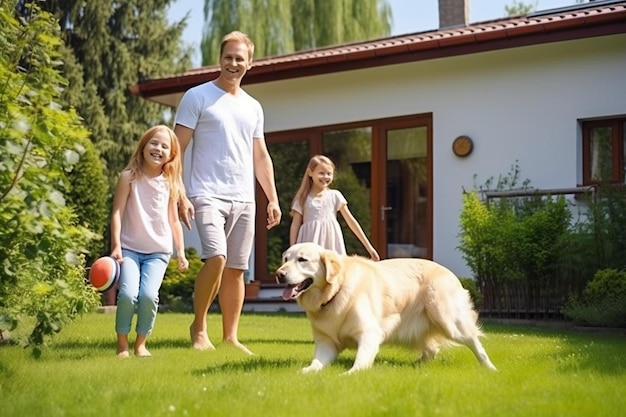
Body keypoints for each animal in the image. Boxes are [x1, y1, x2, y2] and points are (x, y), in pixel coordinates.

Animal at [276, 240, 494, 374]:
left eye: (302, 260)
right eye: (286, 259)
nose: (279, 274)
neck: (334, 292)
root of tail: (450, 273)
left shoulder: (369, 334)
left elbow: (361, 361)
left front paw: (349, 374)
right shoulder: (326, 343)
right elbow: (316, 364)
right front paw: (305, 371)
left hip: (448, 320)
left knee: (474, 342)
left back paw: (490, 368)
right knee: (432, 349)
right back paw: (417, 366)